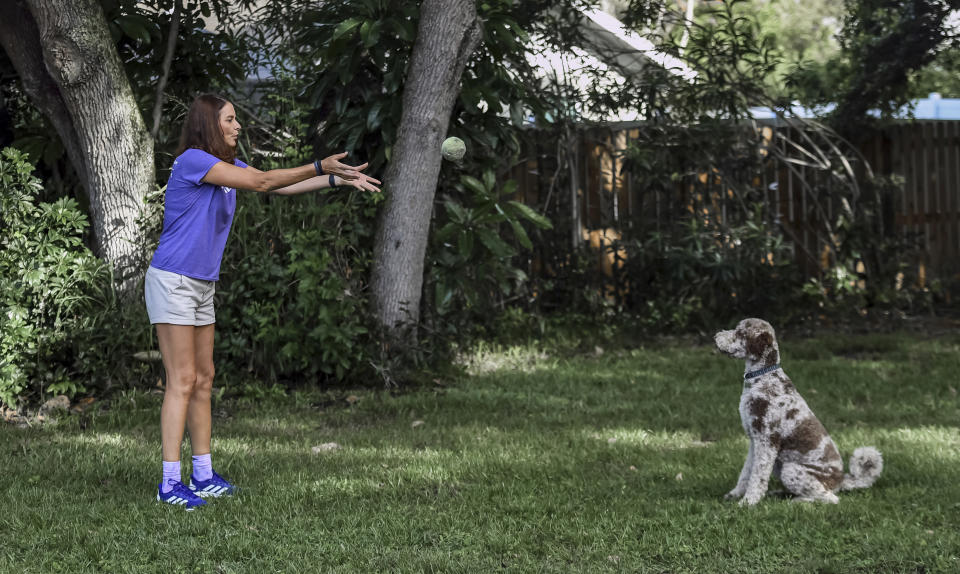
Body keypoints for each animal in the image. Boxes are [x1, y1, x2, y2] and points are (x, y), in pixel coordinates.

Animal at [716, 322, 880, 506]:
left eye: (740, 333)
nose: (716, 336)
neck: (764, 377)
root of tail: (842, 480)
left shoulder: (767, 441)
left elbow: (757, 477)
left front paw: (748, 502)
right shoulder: (754, 440)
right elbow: (746, 473)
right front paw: (736, 494)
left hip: (791, 469)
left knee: (830, 498)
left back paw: (796, 502)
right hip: (779, 464)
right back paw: (779, 494)